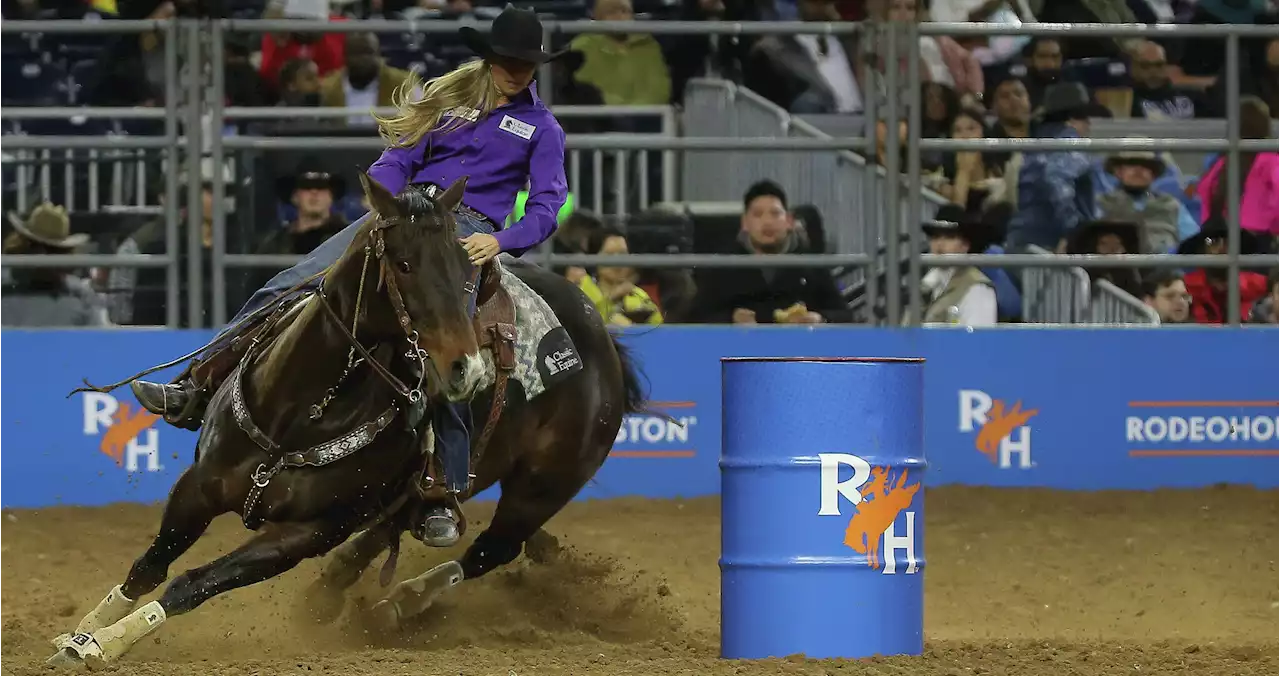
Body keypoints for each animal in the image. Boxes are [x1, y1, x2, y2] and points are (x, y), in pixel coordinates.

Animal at [45, 172, 645, 665]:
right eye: (404, 263)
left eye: (467, 272)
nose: (467, 369)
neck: (302, 410)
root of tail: (600, 336)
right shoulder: (201, 485)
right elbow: (151, 566)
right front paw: (80, 634)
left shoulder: (307, 533)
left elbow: (190, 584)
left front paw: (104, 644)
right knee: (390, 531)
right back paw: (337, 592)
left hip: (543, 485)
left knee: (488, 550)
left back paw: (398, 603)